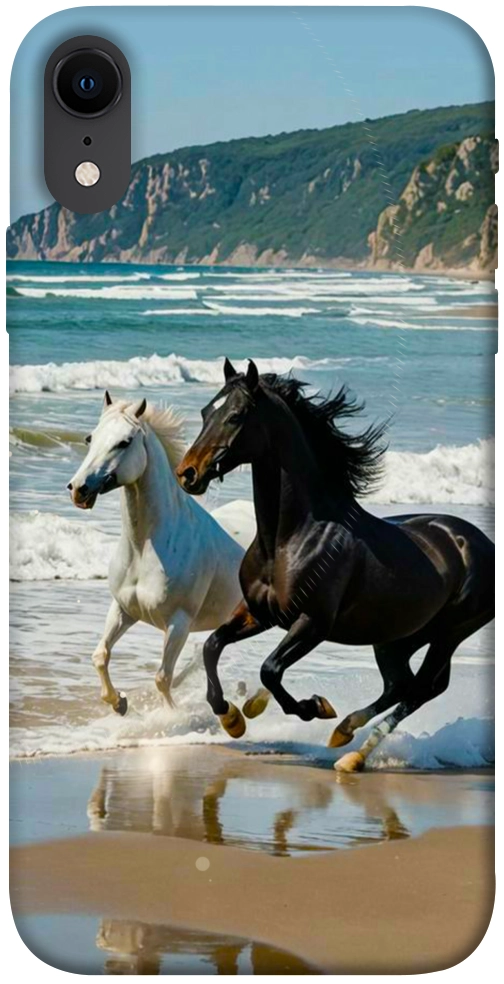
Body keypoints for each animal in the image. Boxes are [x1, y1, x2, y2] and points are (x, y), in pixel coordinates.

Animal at [67, 390, 244, 715]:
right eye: (90, 438)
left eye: (124, 442)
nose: (78, 489)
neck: (144, 549)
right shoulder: (123, 609)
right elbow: (100, 655)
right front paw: (119, 703)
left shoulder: (178, 623)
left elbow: (162, 678)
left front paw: (170, 717)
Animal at [176, 359, 494, 772]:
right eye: (205, 412)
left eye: (235, 416)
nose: (188, 473)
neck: (289, 538)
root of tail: (482, 544)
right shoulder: (259, 613)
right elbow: (212, 646)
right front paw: (232, 717)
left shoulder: (313, 623)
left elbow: (270, 669)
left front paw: (314, 707)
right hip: (397, 637)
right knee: (401, 684)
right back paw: (344, 733)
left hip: (449, 633)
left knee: (422, 688)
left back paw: (352, 752)